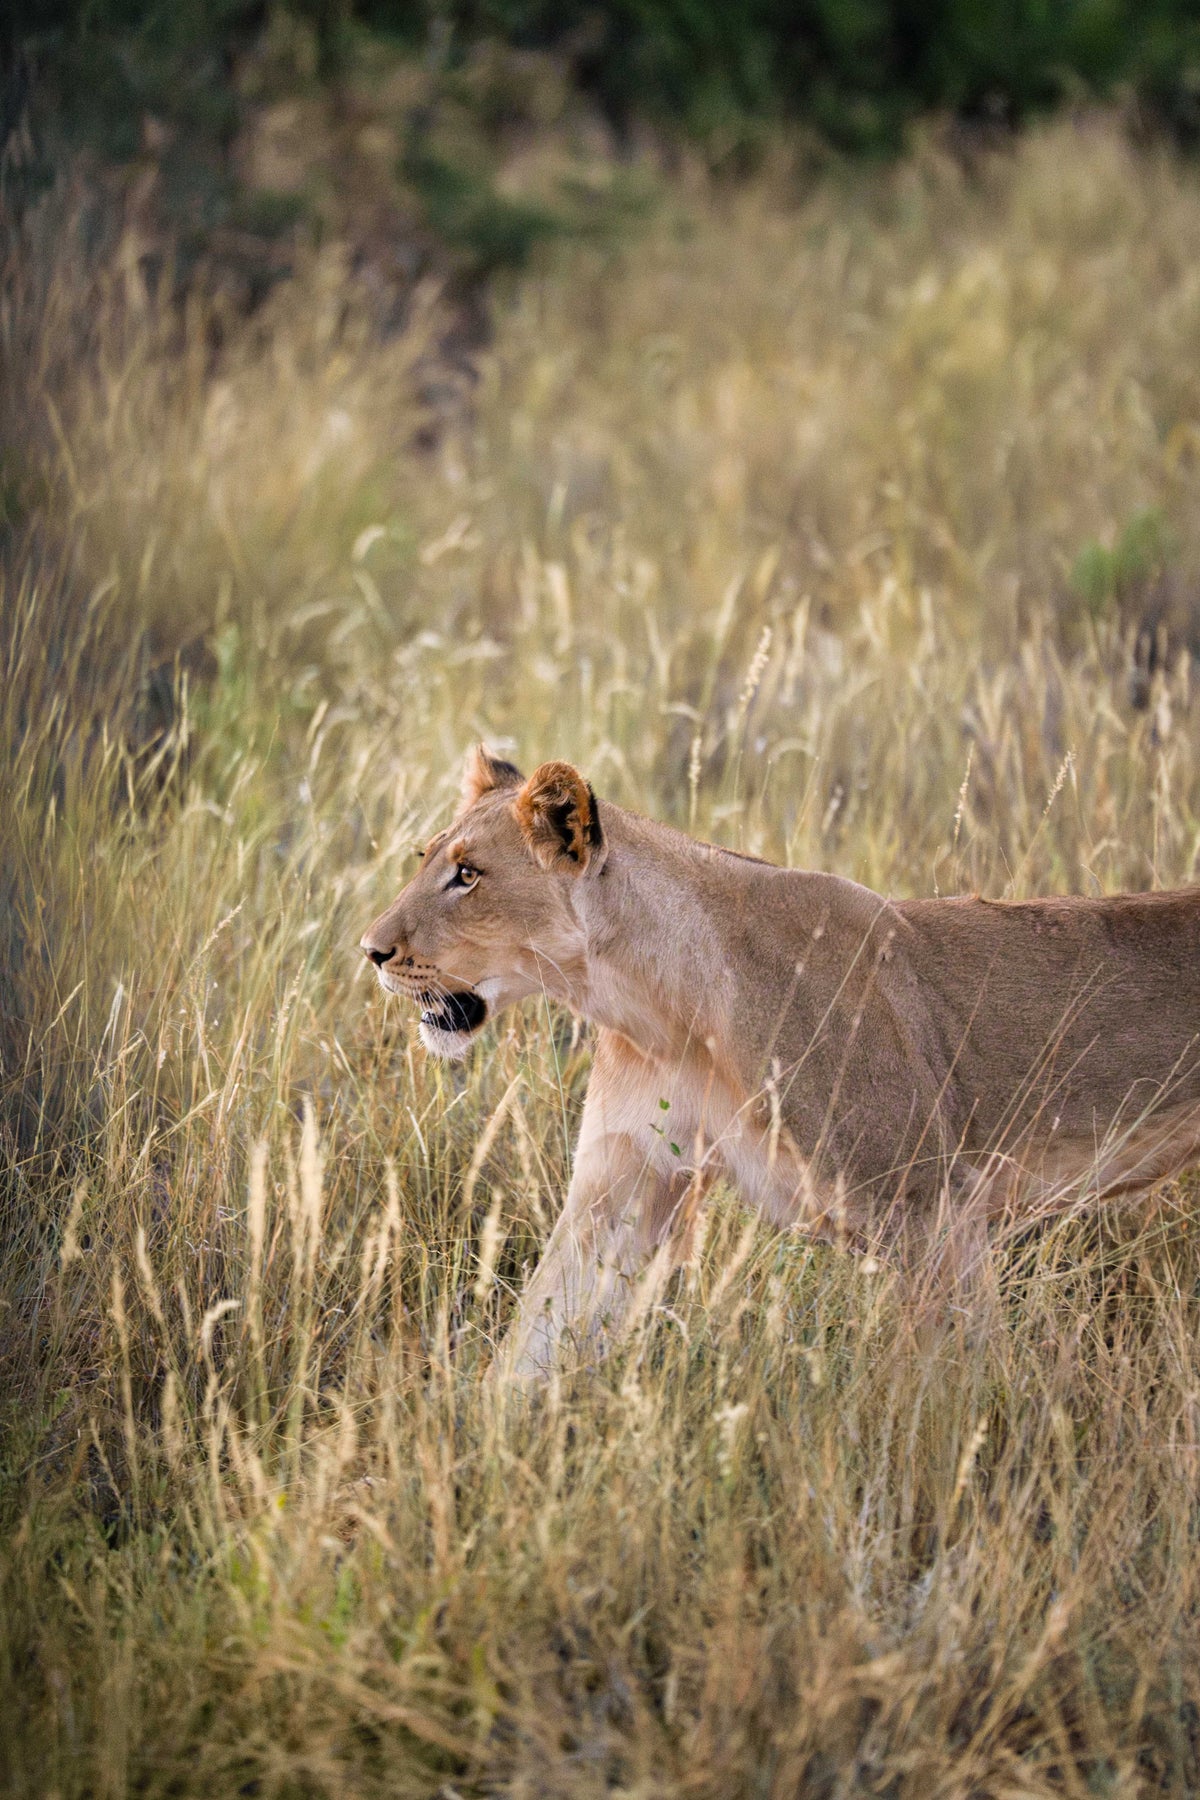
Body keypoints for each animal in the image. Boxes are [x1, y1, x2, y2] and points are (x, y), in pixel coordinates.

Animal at [361, 745, 1200, 1378]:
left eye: (468, 875)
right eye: (425, 860)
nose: (370, 951)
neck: (654, 1004)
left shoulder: (932, 1212)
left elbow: (953, 1402)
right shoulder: (623, 1182)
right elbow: (532, 1345)